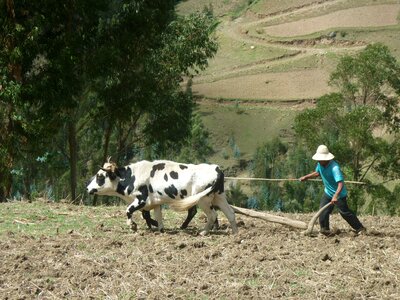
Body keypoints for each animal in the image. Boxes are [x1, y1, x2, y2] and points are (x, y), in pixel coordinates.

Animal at [86, 158, 238, 236]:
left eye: (100, 176)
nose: (87, 188)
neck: (132, 176)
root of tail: (216, 168)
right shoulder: (155, 202)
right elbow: (156, 216)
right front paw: (160, 229)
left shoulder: (141, 199)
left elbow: (129, 211)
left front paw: (133, 226)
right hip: (219, 197)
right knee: (230, 213)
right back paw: (236, 233)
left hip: (203, 200)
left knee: (212, 214)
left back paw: (203, 232)